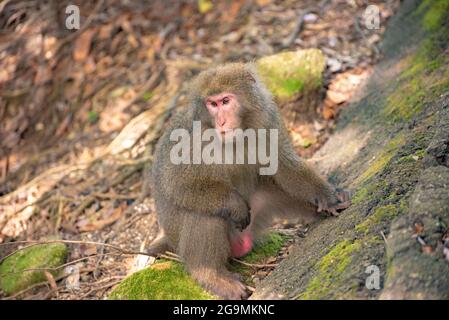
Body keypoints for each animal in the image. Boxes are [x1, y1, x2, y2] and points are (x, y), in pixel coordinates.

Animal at [148, 63, 350, 300]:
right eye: (212, 104)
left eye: (225, 101)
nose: (221, 122)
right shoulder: (192, 138)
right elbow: (176, 184)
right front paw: (234, 204)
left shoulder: (268, 117)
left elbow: (284, 165)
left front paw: (329, 197)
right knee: (204, 212)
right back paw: (211, 275)